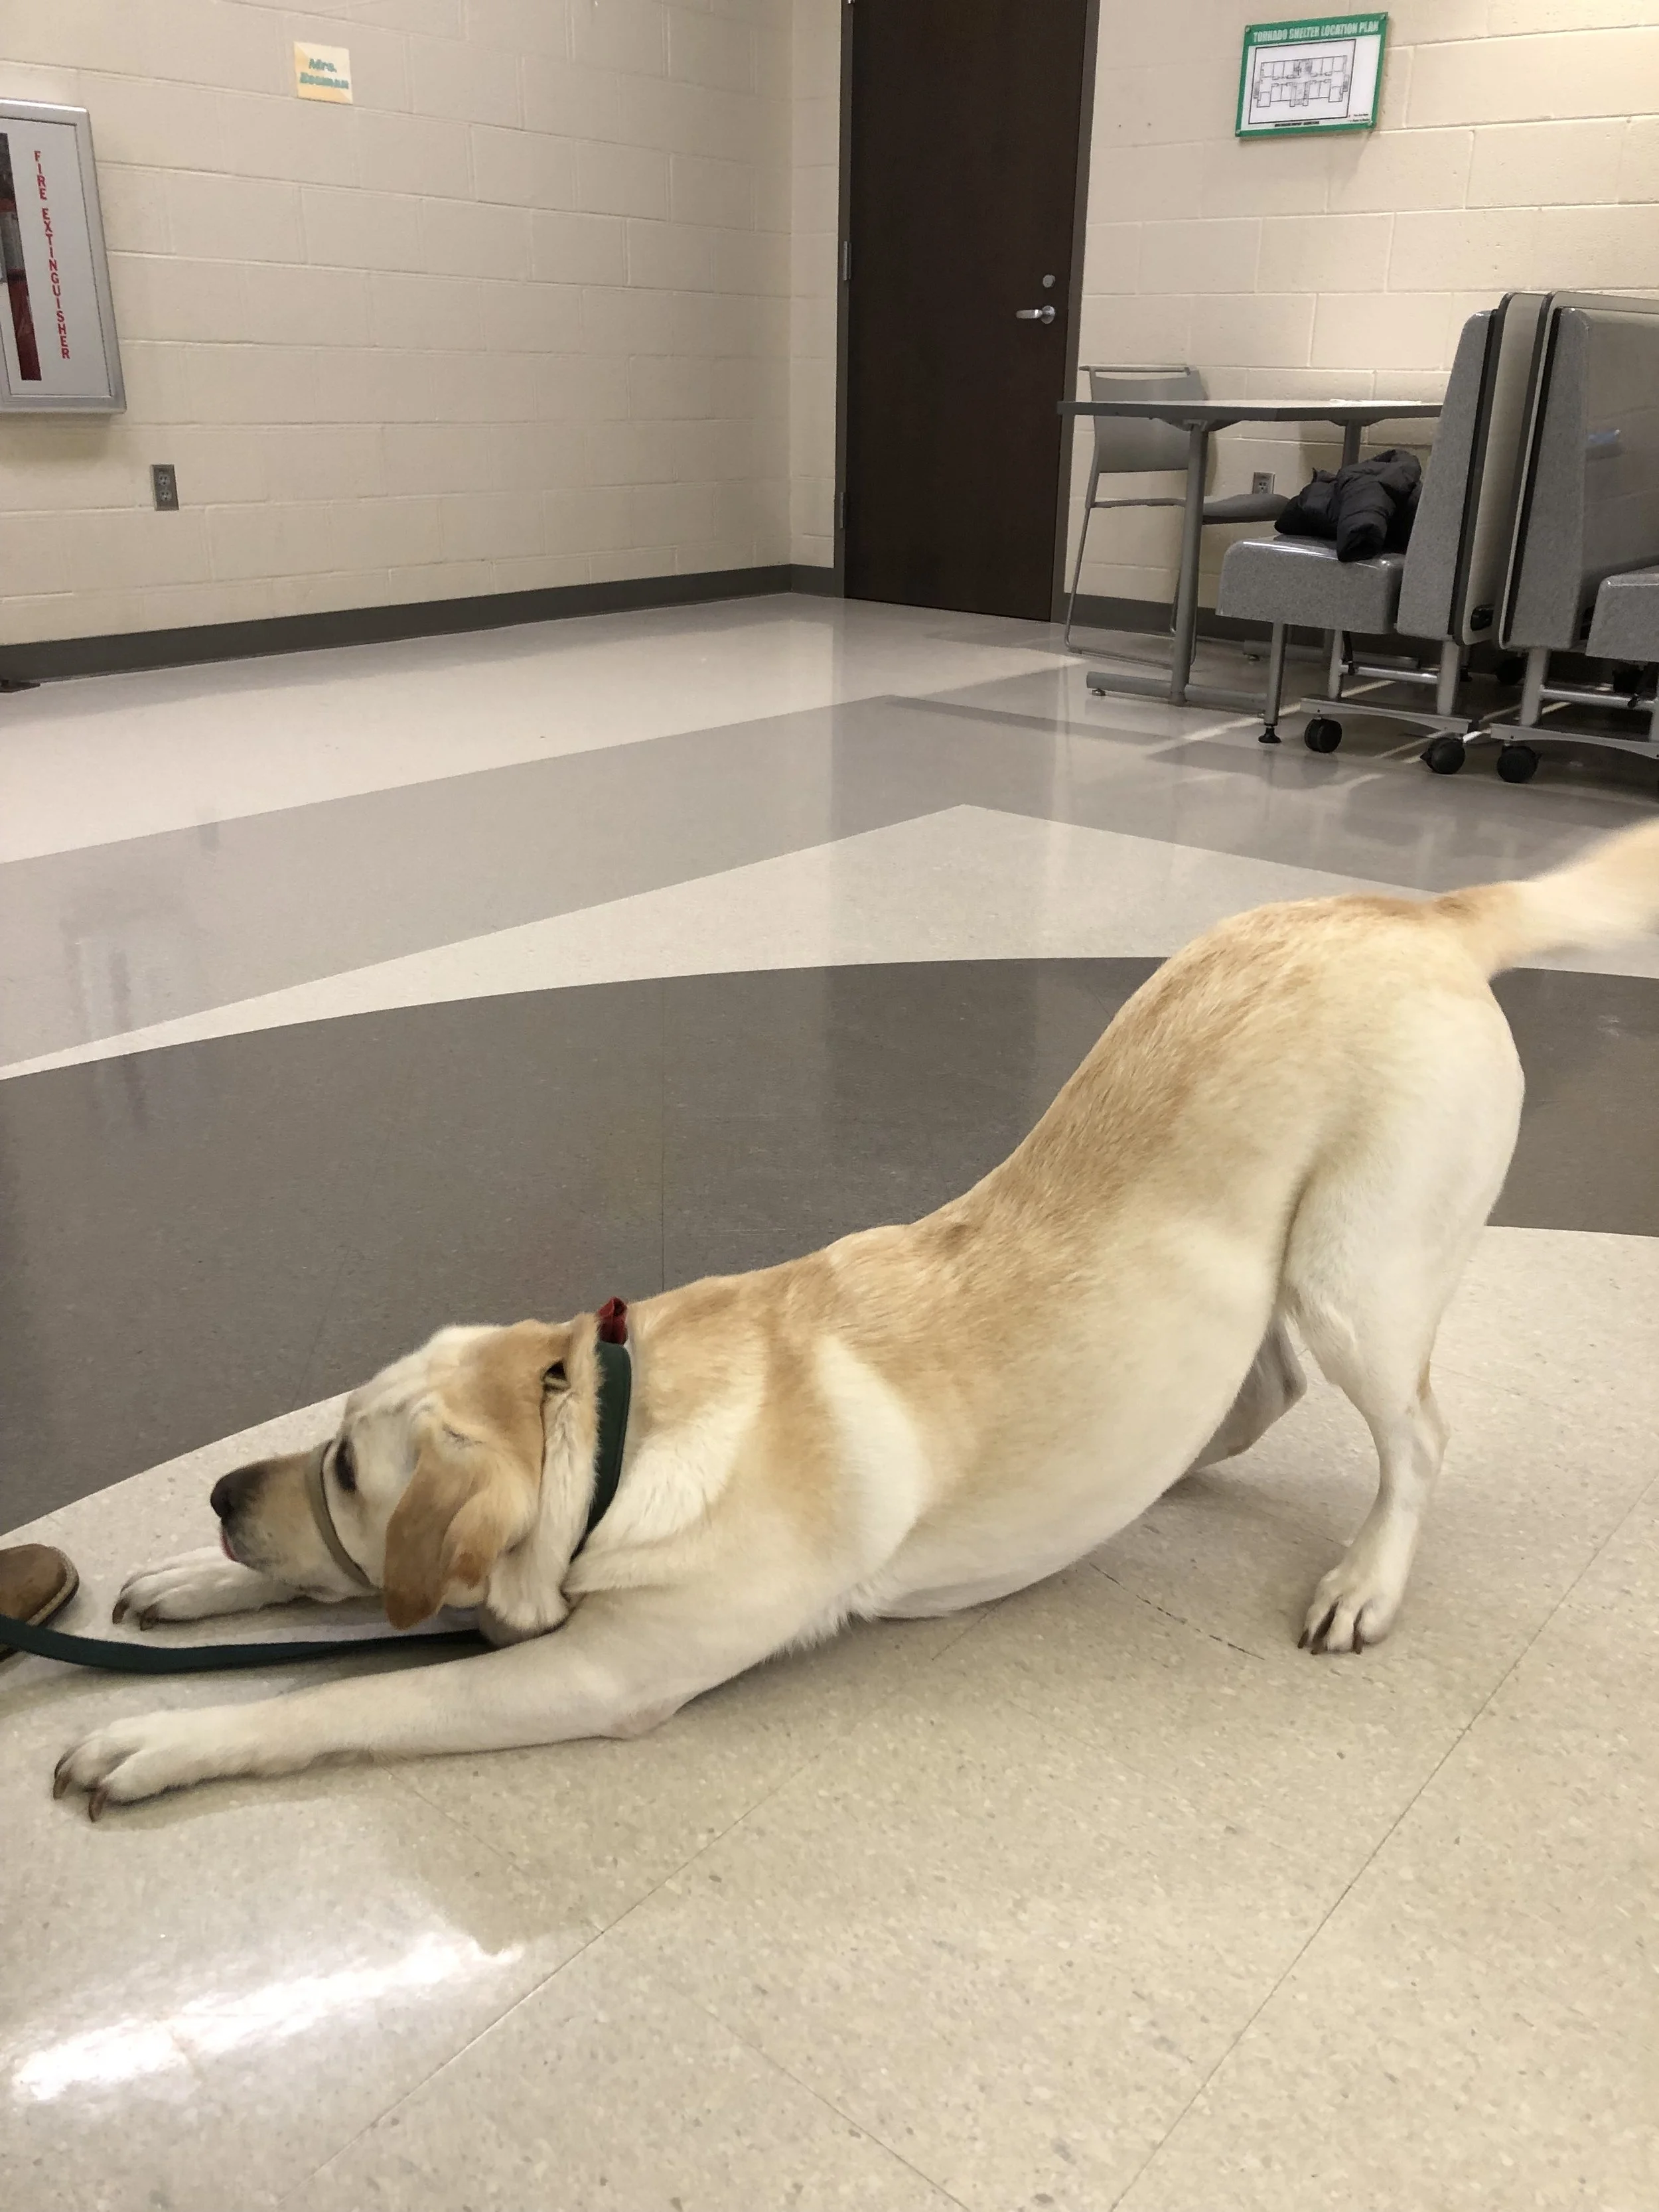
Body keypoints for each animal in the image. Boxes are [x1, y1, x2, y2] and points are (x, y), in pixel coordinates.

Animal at [52, 820, 1659, 1816]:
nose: (216, 1488)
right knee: (1255, 1390)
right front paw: (195, 1577)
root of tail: (1415, 908)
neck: (609, 1423)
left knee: (1415, 1436)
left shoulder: (592, 1667)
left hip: (1353, 1271)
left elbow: (337, 1696)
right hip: (1267, 1277)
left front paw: (159, 1730)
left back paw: (1366, 1575)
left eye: (343, 1470)